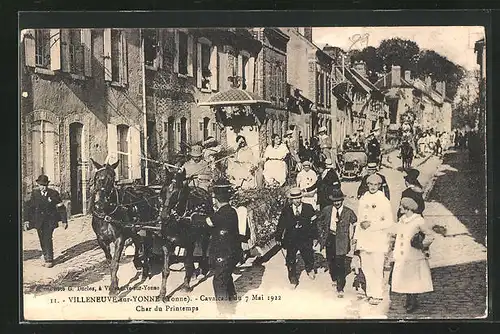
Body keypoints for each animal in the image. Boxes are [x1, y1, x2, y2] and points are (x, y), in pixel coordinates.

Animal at [88, 159, 160, 294]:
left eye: (112, 178)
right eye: (96, 177)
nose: (99, 203)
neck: (106, 213)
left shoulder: (119, 238)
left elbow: (115, 262)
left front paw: (113, 288)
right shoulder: (101, 240)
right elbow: (109, 261)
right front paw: (115, 282)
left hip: (148, 227)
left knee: (146, 245)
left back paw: (145, 269)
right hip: (134, 229)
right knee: (138, 242)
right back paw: (137, 263)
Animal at [156, 167, 213, 300]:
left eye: (176, 192)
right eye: (162, 191)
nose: (164, 216)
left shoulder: (190, 242)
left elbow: (187, 264)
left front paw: (186, 286)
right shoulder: (167, 243)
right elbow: (165, 270)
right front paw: (162, 293)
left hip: (205, 234)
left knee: (203, 248)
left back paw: (202, 269)